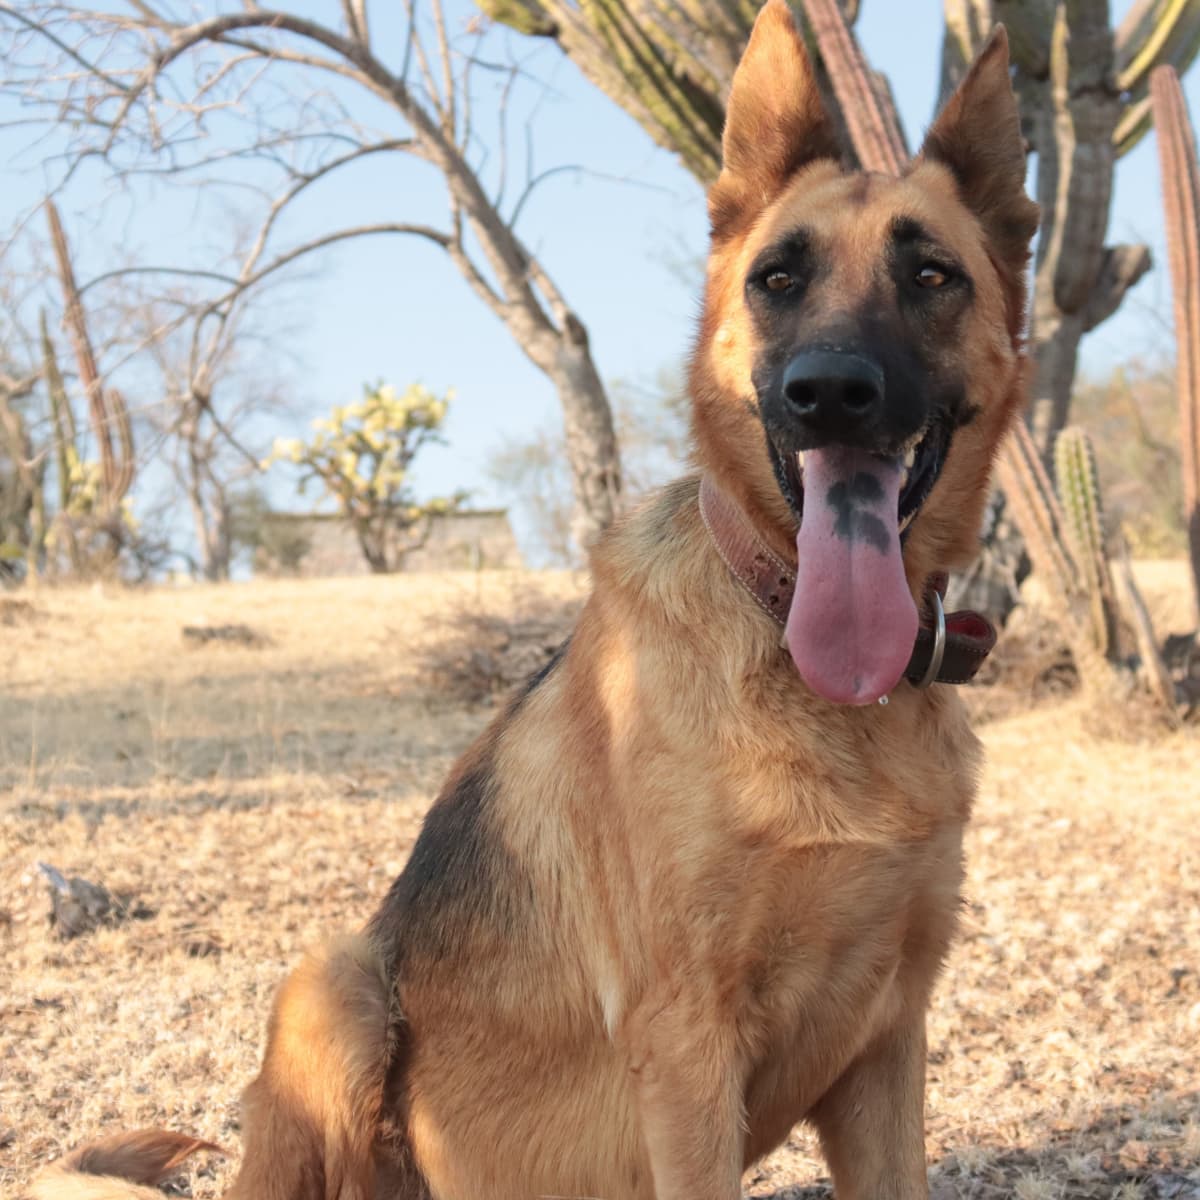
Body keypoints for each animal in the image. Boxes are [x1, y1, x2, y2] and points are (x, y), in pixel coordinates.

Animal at [35, 4, 1032, 1195]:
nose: (828, 392)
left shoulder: (885, 1045)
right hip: (335, 979)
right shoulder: (688, 1054)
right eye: (777, 281)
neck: (805, 660)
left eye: (932, 276)